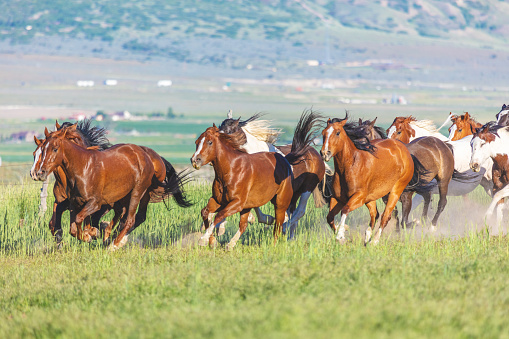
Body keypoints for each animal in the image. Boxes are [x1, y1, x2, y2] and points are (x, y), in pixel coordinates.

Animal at [31, 125, 190, 252]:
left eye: (55, 149)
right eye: (38, 151)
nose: (39, 173)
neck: (82, 167)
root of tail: (146, 155)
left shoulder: (96, 203)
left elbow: (81, 219)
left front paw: (91, 235)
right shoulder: (74, 203)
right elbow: (72, 227)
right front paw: (89, 234)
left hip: (139, 193)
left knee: (131, 219)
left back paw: (114, 244)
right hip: (125, 196)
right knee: (125, 216)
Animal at [192, 111, 320, 250]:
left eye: (210, 142)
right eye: (197, 142)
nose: (195, 160)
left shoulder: (243, 198)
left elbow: (225, 214)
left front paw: (207, 237)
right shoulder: (224, 199)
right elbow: (210, 213)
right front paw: (213, 236)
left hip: (298, 194)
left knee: (293, 216)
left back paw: (282, 234)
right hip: (291, 196)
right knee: (289, 216)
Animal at [322, 114, 428, 244]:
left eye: (337, 133)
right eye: (323, 133)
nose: (325, 153)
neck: (350, 166)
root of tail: (404, 149)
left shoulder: (359, 197)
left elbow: (345, 210)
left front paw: (340, 235)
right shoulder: (337, 198)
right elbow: (330, 217)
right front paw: (342, 233)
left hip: (395, 191)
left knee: (386, 216)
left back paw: (375, 240)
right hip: (372, 198)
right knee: (375, 214)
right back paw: (368, 236)